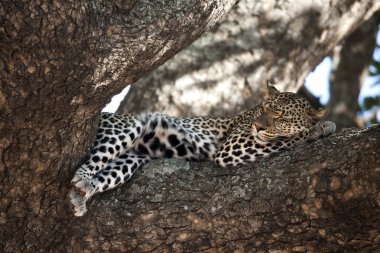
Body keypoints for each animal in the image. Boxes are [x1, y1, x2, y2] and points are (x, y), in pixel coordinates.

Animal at [69, 82, 336, 216]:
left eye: (281, 117)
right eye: (265, 109)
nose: (258, 127)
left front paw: (319, 127)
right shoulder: (232, 147)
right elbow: (284, 138)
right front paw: (319, 127)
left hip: (131, 158)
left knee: (108, 170)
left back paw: (83, 192)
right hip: (127, 125)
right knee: (91, 161)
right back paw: (82, 178)